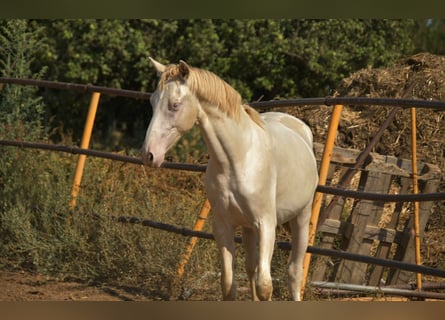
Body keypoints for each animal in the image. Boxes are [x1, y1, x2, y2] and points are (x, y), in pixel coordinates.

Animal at [140, 57, 318, 300]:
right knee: (251, 267)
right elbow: (229, 284)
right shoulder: (223, 225)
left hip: (301, 217)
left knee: (294, 273)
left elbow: (265, 286)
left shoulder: (266, 224)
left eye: (174, 105)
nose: (149, 154)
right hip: (249, 228)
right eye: (152, 101)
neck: (237, 158)